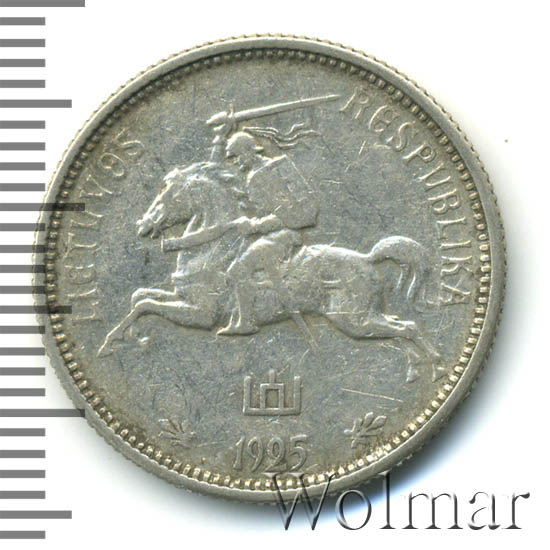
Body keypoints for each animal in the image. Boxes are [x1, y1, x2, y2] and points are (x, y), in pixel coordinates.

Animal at [97, 161, 443, 382]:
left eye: (169, 194)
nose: (143, 225)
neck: (211, 249)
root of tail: (367, 259)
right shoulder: (181, 296)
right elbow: (140, 296)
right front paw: (128, 337)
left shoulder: (201, 313)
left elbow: (144, 305)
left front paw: (112, 341)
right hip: (365, 319)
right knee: (400, 327)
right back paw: (414, 371)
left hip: (353, 320)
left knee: (408, 327)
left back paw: (436, 367)